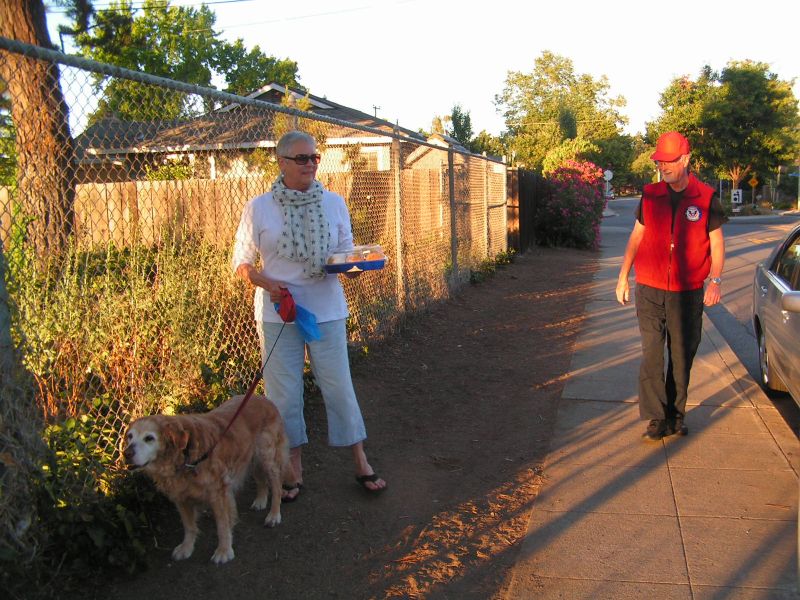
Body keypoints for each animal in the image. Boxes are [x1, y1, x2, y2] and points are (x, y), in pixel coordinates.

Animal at [123, 394, 290, 564]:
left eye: (149, 438)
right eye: (130, 437)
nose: (126, 454)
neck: (185, 456)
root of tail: (262, 398)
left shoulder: (218, 494)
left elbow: (222, 526)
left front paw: (224, 550)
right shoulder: (180, 497)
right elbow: (188, 526)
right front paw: (186, 547)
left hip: (266, 457)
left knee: (276, 486)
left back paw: (274, 515)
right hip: (251, 458)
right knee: (261, 479)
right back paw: (260, 500)